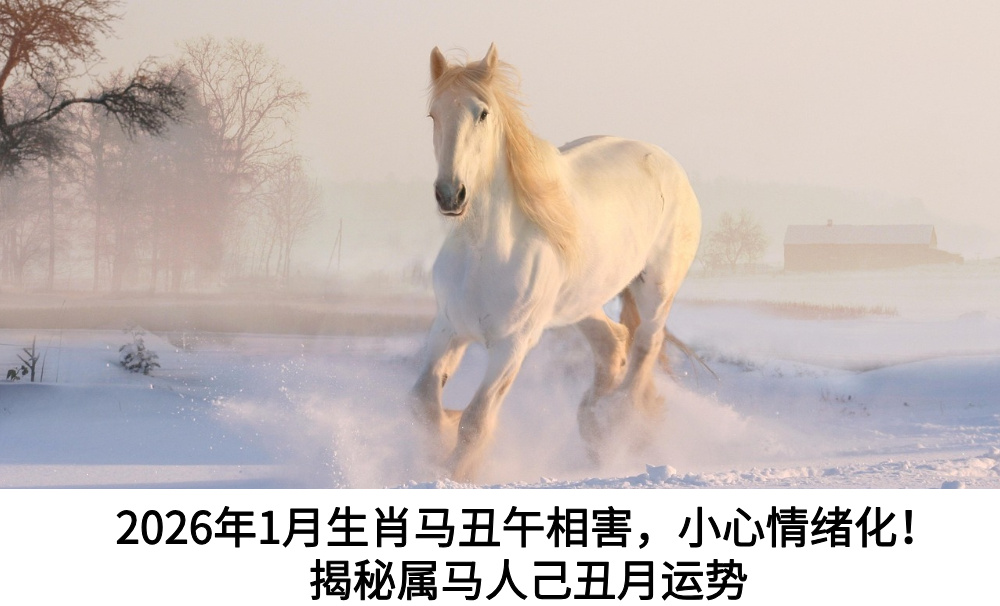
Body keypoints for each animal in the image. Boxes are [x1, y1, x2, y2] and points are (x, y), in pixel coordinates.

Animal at [410, 44, 701, 481]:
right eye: (434, 114)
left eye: (482, 113)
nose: (450, 194)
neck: (484, 253)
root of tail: (669, 165)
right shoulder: (448, 328)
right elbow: (424, 404)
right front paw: (440, 440)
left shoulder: (513, 345)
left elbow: (476, 421)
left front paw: (456, 471)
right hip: (580, 302)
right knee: (613, 343)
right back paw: (594, 425)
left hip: (656, 289)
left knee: (645, 346)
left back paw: (617, 421)